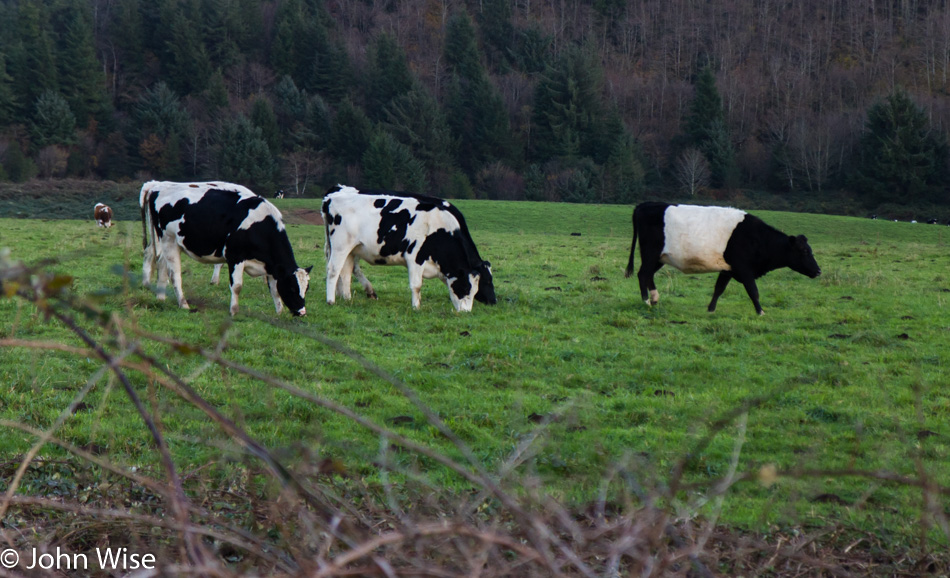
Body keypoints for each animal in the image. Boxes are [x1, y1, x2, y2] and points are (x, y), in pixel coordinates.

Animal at [140, 180, 312, 316]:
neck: (260, 224)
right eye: (292, 288)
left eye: (306, 289)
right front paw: (234, 311)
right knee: (174, 273)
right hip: (168, 239)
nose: (301, 312)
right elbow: (237, 286)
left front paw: (279, 313)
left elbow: (275, 289)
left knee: (161, 264)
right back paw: (183, 304)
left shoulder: (272, 266)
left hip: (167, 243)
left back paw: (161, 298)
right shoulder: (235, 256)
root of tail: (158, 186)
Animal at [322, 184, 498, 310]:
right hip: (340, 245)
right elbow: (417, 285)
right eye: (466, 287)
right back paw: (331, 300)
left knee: (346, 272)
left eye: (476, 289)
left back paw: (347, 298)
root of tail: (333, 194)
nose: (494, 301)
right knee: (333, 270)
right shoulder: (415, 257)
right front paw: (416, 307)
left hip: (351, 248)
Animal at [624, 201, 824, 316]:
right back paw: (646, 301)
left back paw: (655, 299)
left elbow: (719, 289)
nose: (818, 270)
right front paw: (760, 312)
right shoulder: (744, 268)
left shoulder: (728, 269)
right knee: (643, 274)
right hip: (651, 253)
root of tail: (644, 204)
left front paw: (711, 310)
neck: (757, 238)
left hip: (659, 257)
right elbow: (753, 291)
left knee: (648, 275)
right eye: (804, 251)